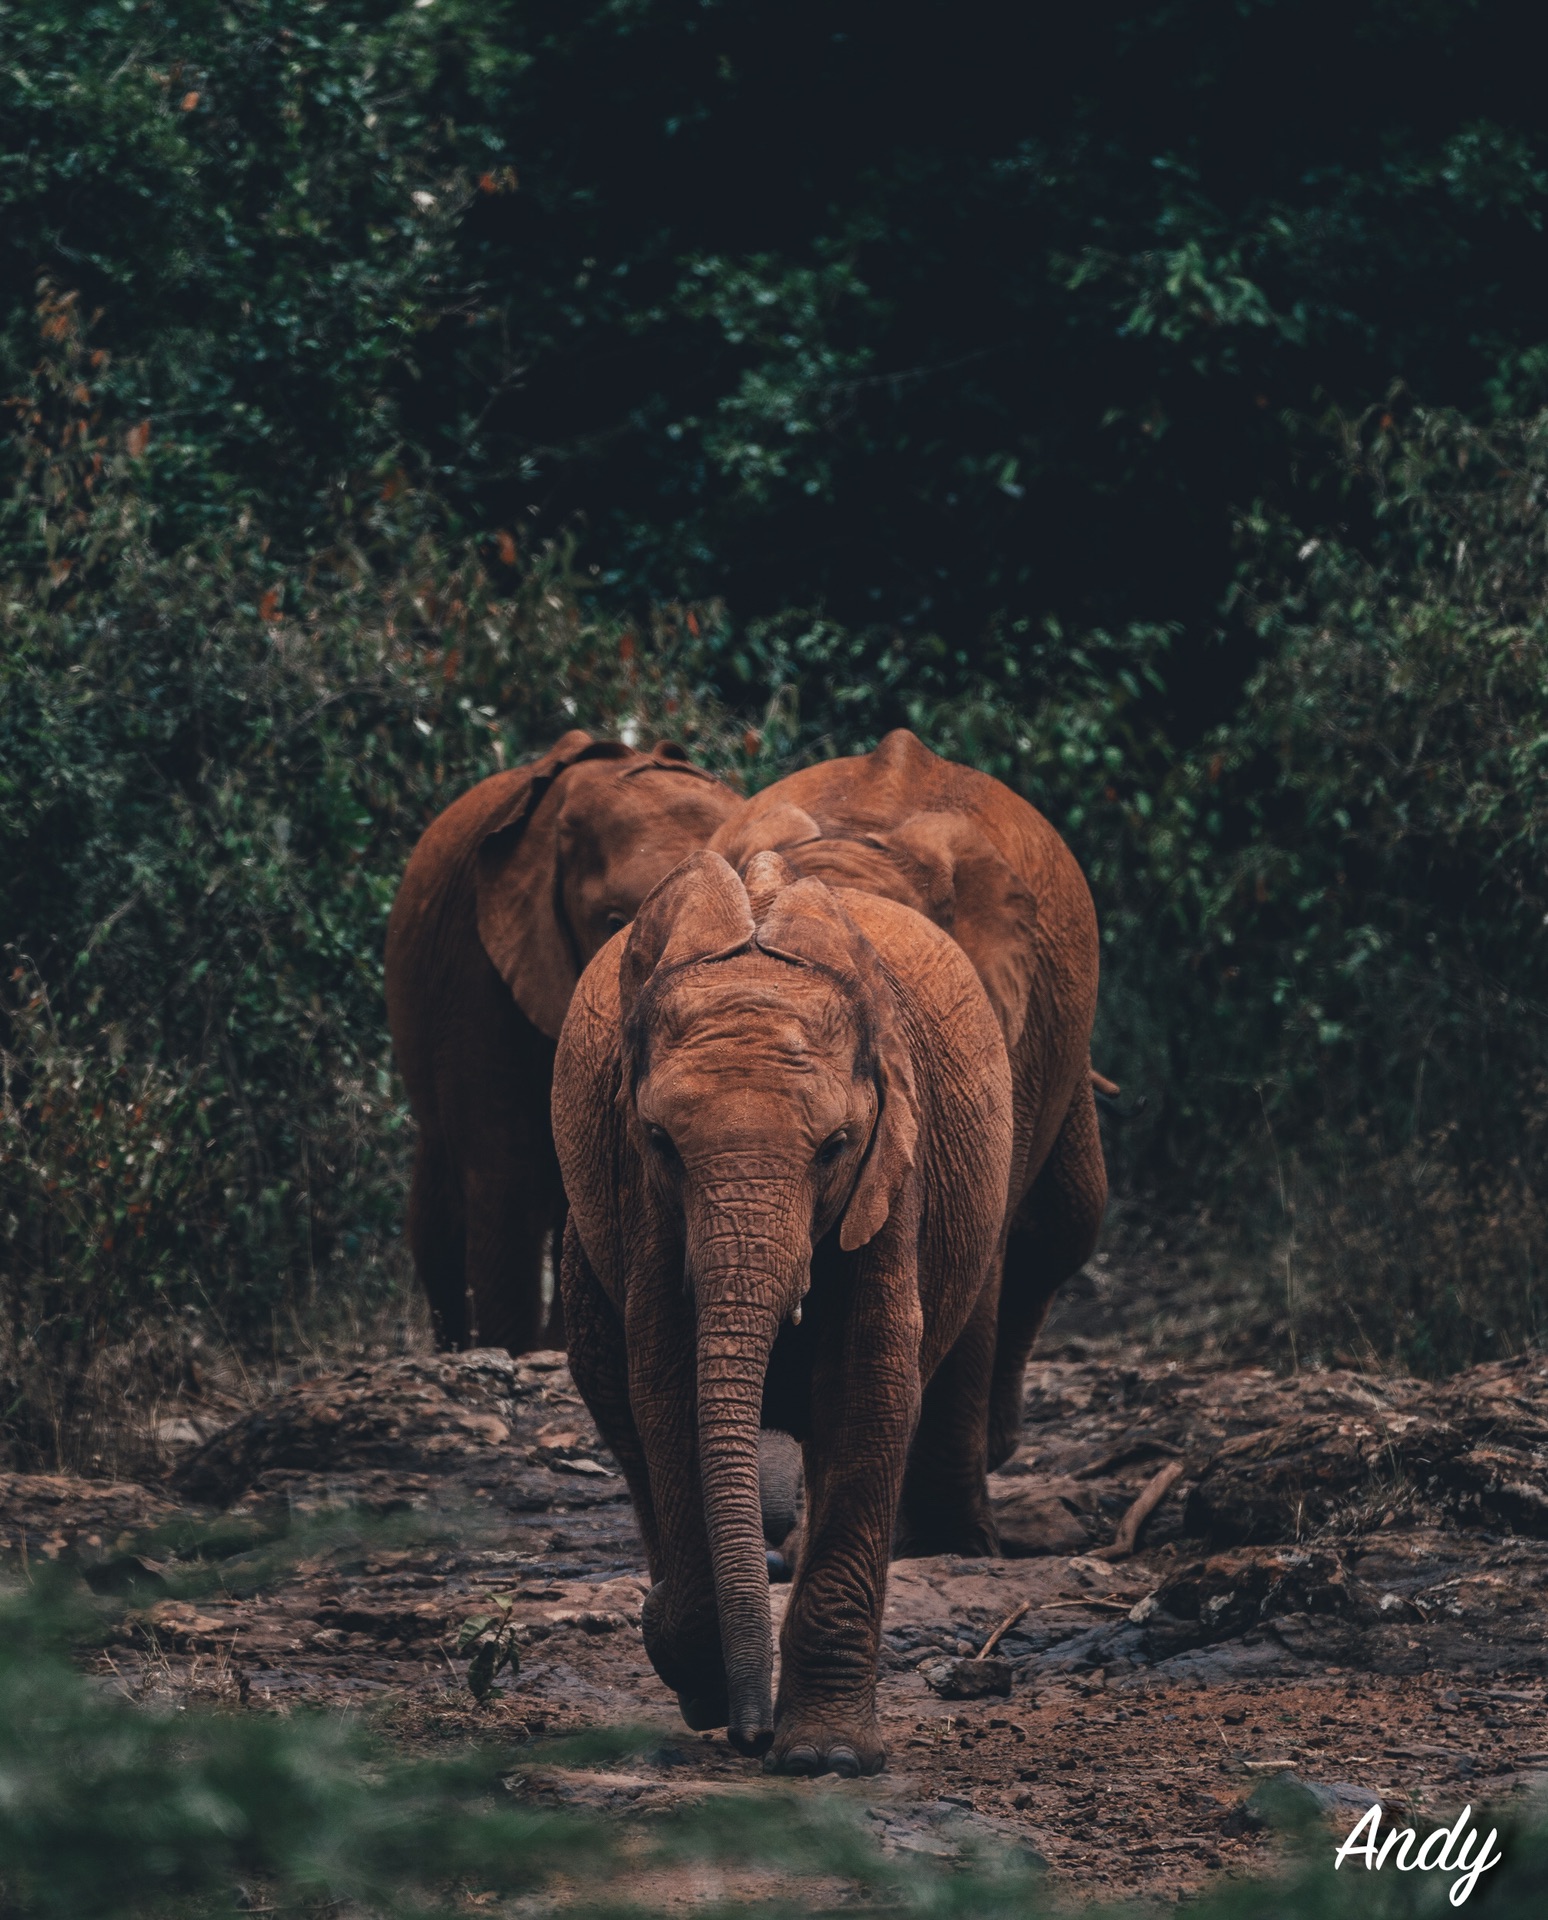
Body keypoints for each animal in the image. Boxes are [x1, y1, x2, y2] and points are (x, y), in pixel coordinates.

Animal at [553, 848, 1021, 1774]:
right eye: (660, 1143)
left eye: (835, 1147)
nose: (752, 1733)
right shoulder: (642, 1198)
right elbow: (668, 1392)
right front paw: (696, 1668)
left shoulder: (896, 1165)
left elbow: (871, 1384)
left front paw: (826, 1759)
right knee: (622, 1415)